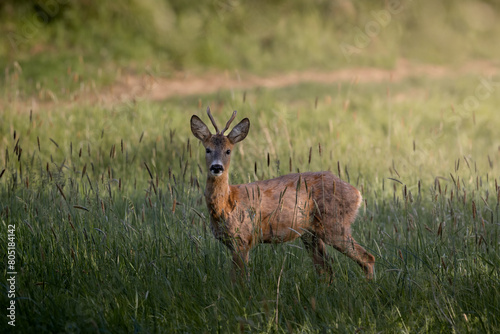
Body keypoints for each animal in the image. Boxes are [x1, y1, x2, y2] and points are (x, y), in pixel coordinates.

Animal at [191, 107, 376, 280]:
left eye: (228, 151)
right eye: (207, 149)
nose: (217, 167)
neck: (226, 205)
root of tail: (357, 194)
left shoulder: (243, 238)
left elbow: (240, 280)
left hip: (335, 224)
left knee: (367, 258)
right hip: (311, 234)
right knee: (327, 270)